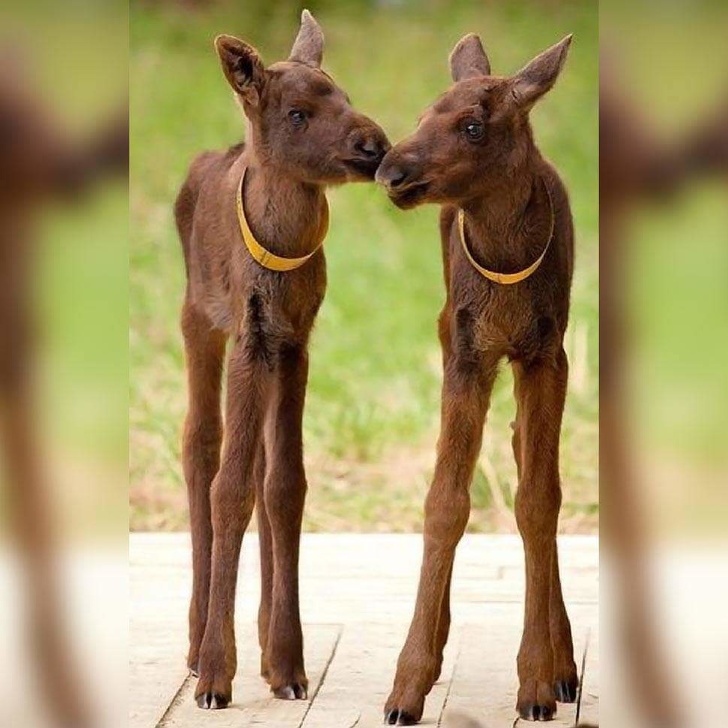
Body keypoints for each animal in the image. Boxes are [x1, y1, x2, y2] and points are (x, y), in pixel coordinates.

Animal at [173, 10, 389, 710]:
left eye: (344, 94)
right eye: (297, 114)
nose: (375, 145)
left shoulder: (295, 344)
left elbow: (285, 485)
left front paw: (290, 664)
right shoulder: (249, 336)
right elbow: (230, 487)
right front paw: (217, 675)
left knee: (264, 469)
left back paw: (267, 650)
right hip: (197, 321)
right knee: (199, 444)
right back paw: (195, 646)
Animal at [376, 33, 578, 723]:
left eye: (472, 126)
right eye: (423, 113)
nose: (391, 169)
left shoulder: (547, 354)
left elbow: (539, 500)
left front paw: (537, 679)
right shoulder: (464, 351)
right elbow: (444, 502)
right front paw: (408, 682)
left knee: (524, 455)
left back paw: (565, 664)